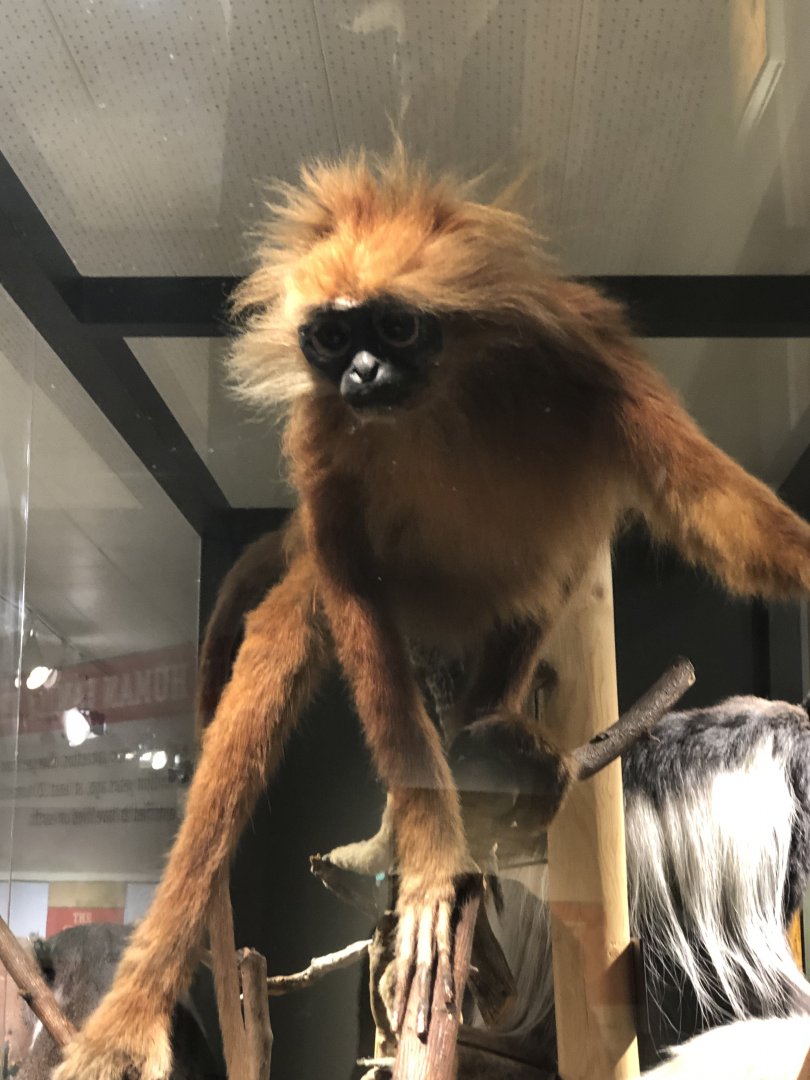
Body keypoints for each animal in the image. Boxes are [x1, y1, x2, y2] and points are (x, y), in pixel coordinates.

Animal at [53, 149, 810, 1080]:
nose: (358, 375)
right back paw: (128, 1025)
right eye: (331, 338)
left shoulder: (585, 357)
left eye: (396, 330)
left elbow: (708, 503)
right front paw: (428, 867)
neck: (442, 398)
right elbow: (353, 604)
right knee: (254, 714)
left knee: (540, 578)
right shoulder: (323, 441)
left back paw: (488, 747)